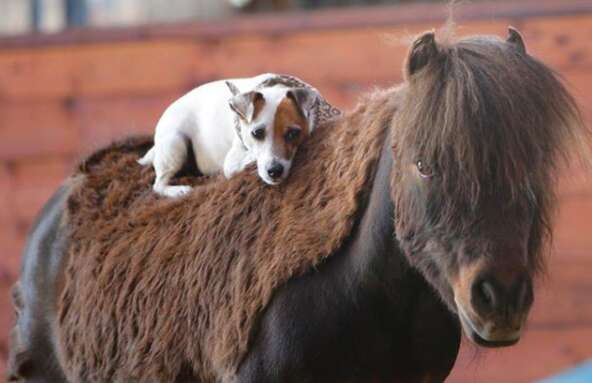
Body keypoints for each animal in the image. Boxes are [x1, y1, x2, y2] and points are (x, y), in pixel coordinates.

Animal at [138, 73, 328, 198]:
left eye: (293, 133)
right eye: (256, 133)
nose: (274, 171)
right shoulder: (231, 163)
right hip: (175, 144)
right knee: (158, 184)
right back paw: (178, 190)